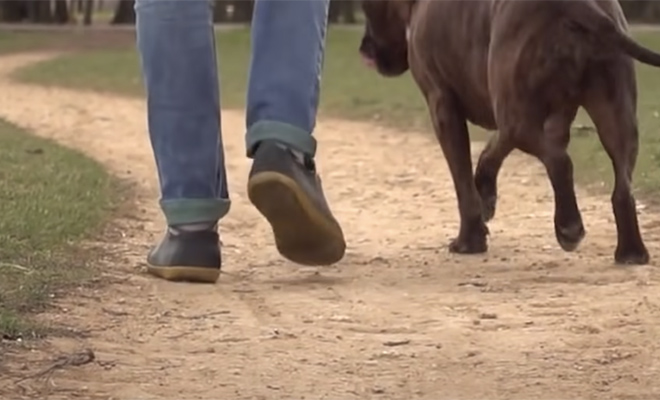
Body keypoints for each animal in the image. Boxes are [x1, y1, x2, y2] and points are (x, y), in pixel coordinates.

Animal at [358, 0, 660, 266]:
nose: (364, 48)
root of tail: (575, 4)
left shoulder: (442, 104)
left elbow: (462, 181)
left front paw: (470, 240)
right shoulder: (547, 116)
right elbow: (494, 149)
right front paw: (485, 195)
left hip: (520, 114)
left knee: (561, 162)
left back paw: (569, 228)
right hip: (614, 114)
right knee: (621, 187)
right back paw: (631, 252)